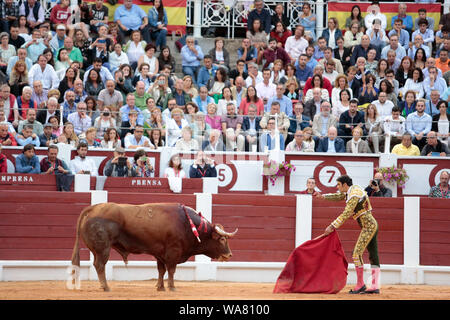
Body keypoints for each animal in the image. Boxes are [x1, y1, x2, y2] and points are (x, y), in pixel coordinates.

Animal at [68, 204, 237, 292]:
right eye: (222, 239)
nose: (229, 255)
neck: (188, 225)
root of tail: (93, 208)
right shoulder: (173, 253)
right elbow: (171, 270)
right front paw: (172, 287)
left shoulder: (160, 254)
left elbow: (161, 270)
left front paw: (160, 287)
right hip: (103, 249)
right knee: (100, 265)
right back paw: (106, 287)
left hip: (98, 250)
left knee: (97, 264)